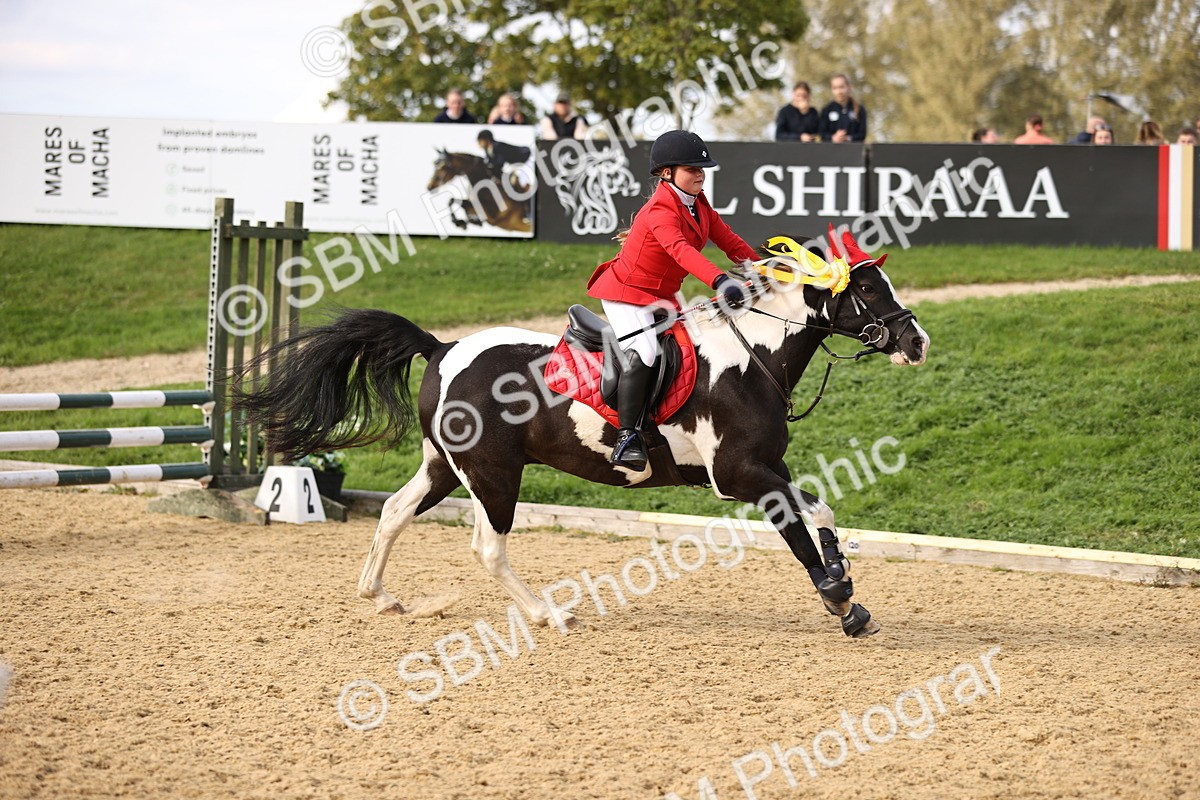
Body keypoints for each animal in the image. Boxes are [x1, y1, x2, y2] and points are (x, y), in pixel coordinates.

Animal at [233, 230, 929, 638]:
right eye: (868, 290)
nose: (917, 341)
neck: (750, 353)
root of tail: (445, 347)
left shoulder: (766, 466)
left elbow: (822, 508)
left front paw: (843, 585)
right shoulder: (739, 475)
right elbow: (797, 529)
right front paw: (837, 598)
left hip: (443, 467)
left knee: (396, 513)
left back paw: (379, 596)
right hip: (492, 473)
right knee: (488, 547)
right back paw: (547, 613)